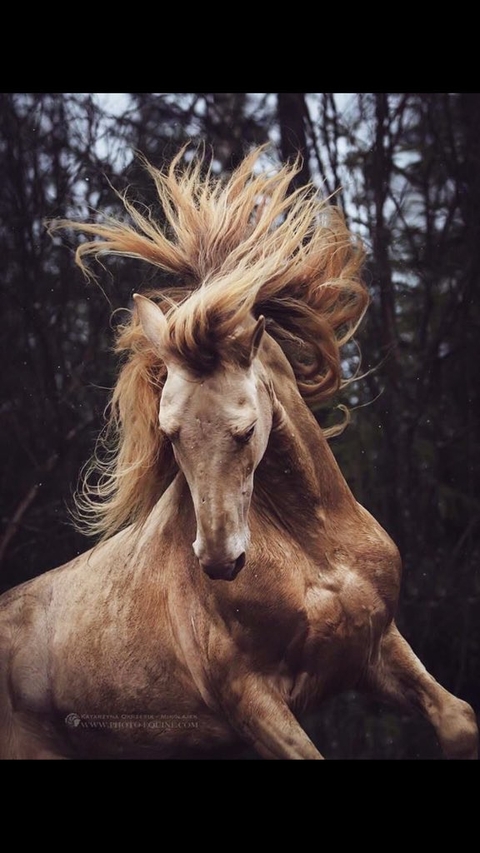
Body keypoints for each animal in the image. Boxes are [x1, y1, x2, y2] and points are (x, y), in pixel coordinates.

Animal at [0, 145, 477, 759]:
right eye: (170, 434)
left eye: (247, 430)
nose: (220, 561)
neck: (313, 553)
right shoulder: (250, 701)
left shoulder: (376, 647)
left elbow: (459, 719)